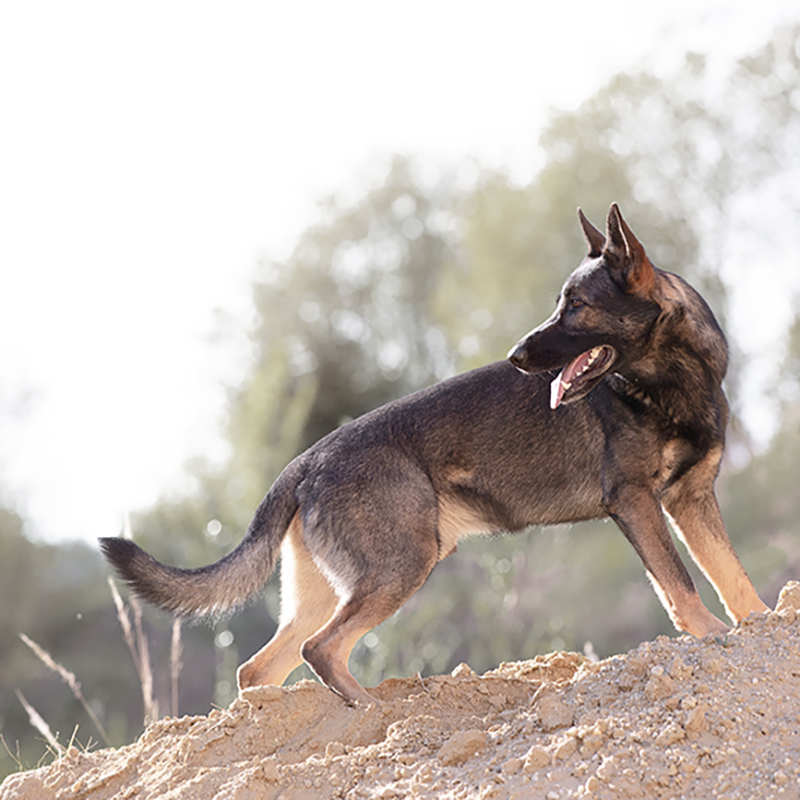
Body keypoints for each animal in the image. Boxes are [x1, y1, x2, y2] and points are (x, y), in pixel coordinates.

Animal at [100, 205, 768, 708]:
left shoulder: (690, 499)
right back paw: (373, 712)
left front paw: (763, 624)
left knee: (262, 667)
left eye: (576, 306)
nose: (516, 355)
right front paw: (713, 639)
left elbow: (731, 576)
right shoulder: (635, 501)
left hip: (332, 590)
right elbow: (682, 584)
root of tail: (305, 463)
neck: (671, 380)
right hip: (400, 567)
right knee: (322, 649)